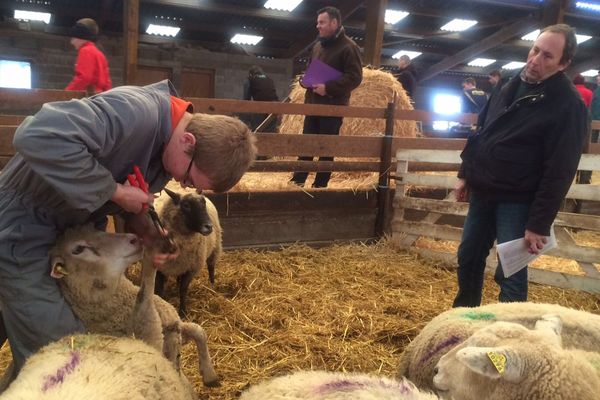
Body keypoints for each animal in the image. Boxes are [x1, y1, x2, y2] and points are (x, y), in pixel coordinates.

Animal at [48, 227, 219, 390]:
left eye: (97, 228)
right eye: (78, 249)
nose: (135, 238)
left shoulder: (175, 325)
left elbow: (199, 331)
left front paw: (209, 373)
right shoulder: (153, 343)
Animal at [157, 189, 223, 318]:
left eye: (203, 204)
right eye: (186, 205)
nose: (209, 226)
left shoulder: (191, 268)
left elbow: (183, 290)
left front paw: (182, 312)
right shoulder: (159, 267)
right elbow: (159, 289)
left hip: (215, 246)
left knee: (211, 267)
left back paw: (212, 285)